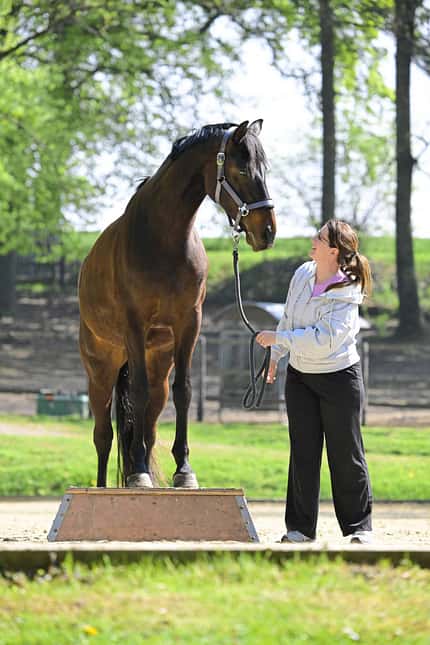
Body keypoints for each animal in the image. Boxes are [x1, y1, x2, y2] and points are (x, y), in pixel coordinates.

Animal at [78, 119, 276, 489]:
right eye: (241, 169)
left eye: (264, 169)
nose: (267, 232)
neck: (164, 238)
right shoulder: (134, 325)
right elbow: (136, 394)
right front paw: (139, 472)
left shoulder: (189, 324)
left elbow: (183, 391)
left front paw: (183, 469)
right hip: (100, 369)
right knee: (103, 435)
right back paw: (105, 485)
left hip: (158, 363)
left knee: (149, 423)